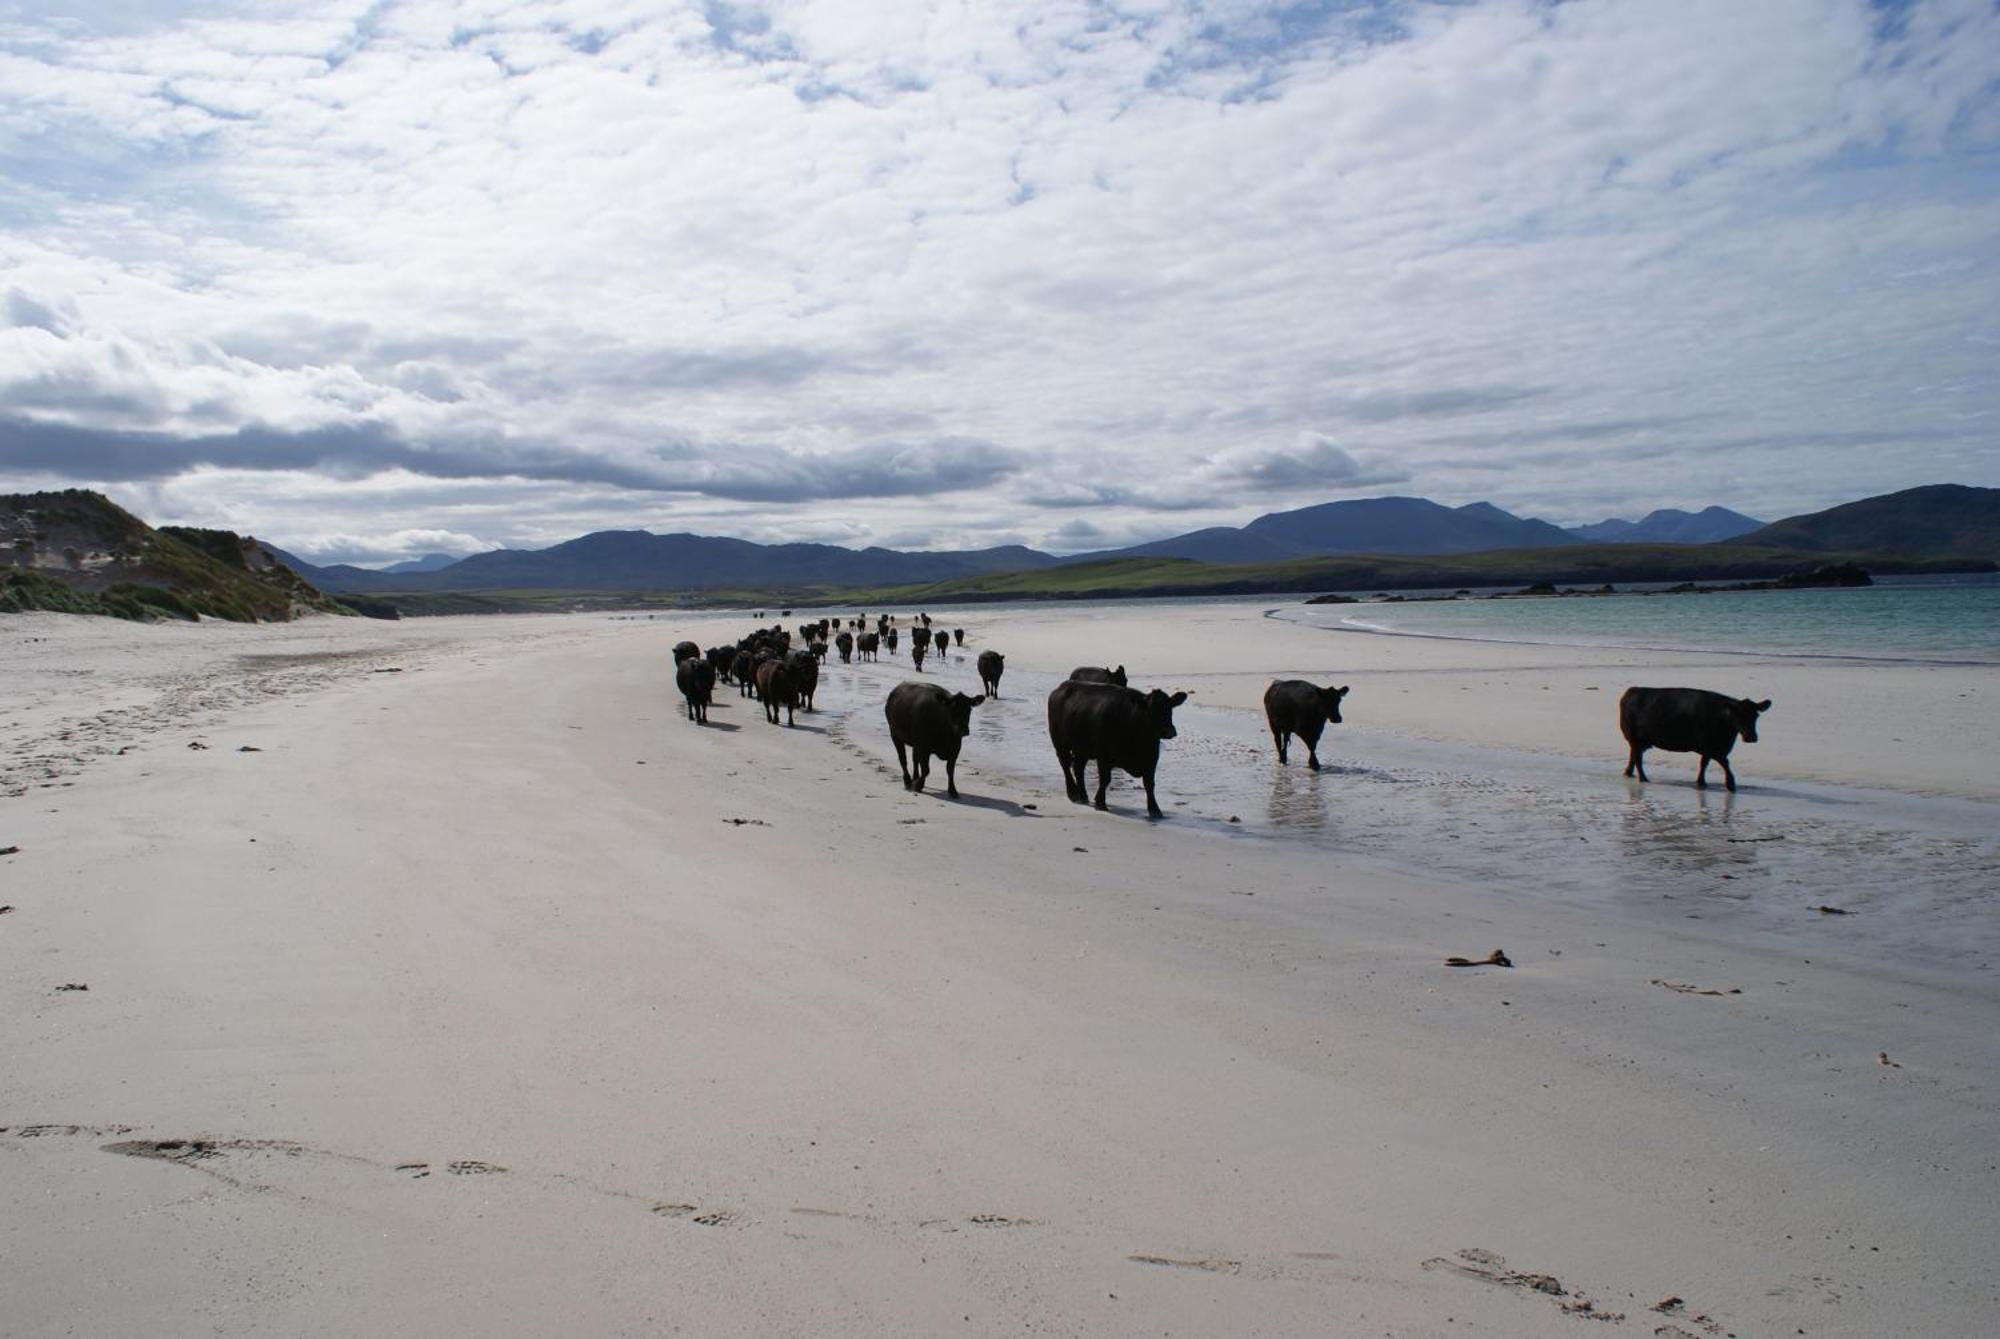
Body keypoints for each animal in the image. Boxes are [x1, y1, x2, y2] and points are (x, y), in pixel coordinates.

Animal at [1048, 683, 1184, 819]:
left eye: (1170, 708)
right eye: (1151, 710)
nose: (1169, 731)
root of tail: (1061, 688)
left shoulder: (1151, 759)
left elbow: (1149, 784)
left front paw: (1155, 810)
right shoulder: (1103, 755)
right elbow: (1105, 779)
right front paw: (1100, 803)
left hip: (1082, 749)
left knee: (1078, 768)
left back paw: (1083, 795)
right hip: (1059, 742)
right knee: (1066, 765)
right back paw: (1073, 793)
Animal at [1616, 687, 1776, 791]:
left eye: (1756, 715)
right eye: (1738, 715)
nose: (1751, 737)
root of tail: (1632, 691)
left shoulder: (1712, 748)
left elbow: (1704, 763)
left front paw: (1701, 782)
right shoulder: (1711, 746)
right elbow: (1725, 763)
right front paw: (1730, 784)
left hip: (1640, 741)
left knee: (1634, 755)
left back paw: (1629, 773)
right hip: (1634, 738)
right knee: (1637, 758)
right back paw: (1643, 778)